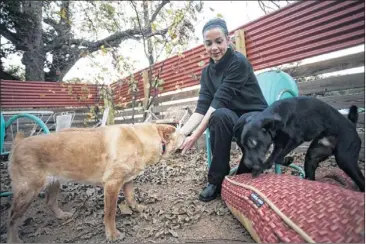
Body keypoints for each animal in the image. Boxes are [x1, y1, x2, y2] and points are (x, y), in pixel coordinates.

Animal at [7, 123, 186, 243]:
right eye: (181, 133)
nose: (187, 135)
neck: (139, 139)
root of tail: (18, 143)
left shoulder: (127, 180)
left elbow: (131, 197)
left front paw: (137, 208)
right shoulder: (112, 184)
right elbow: (110, 214)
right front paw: (112, 234)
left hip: (54, 183)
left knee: (49, 202)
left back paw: (61, 215)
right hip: (27, 193)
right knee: (12, 218)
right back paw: (14, 240)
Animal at [234, 96, 364, 192]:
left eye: (252, 143)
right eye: (242, 145)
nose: (247, 164)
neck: (277, 116)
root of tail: (352, 125)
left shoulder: (295, 140)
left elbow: (278, 158)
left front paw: (287, 160)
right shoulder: (279, 145)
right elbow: (272, 159)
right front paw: (261, 168)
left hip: (345, 159)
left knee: (361, 180)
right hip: (313, 155)